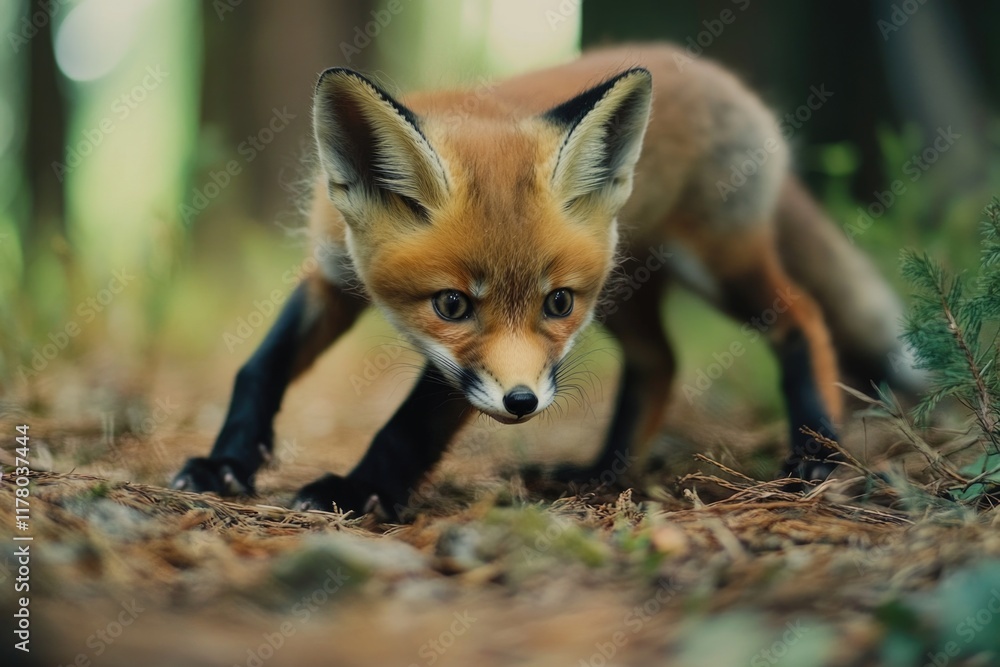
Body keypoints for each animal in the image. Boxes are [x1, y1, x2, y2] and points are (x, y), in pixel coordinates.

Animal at [172, 44, 921, 518]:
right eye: (451, 304)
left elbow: (406, 427)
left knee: (803, 316)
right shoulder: (331, 276)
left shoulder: (465, 372)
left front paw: (355, 492)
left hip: (716, 266)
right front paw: (223, 464)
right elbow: (259, 368)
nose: (523, 403)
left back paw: (815, 449)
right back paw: (602, 471)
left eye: (554, 302)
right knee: (660, 362)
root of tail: (719, 76)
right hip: (622, 289)